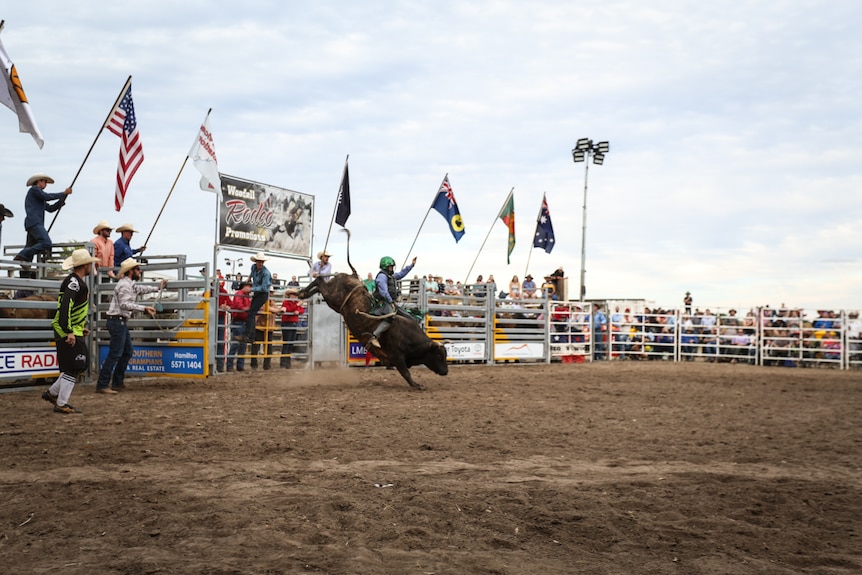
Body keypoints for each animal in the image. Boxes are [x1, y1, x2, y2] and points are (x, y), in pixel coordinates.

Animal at [296, 232, 448, 390]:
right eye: (438, 356)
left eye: (445, 355)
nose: (446, 371)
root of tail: (352, 275)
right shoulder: (396, 356)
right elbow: (406, 372)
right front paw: (416, 385)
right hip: (332, 296)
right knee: (319, 281)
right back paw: (301, 293)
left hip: (334, 303)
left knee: (319, 284)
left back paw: (301, 293)